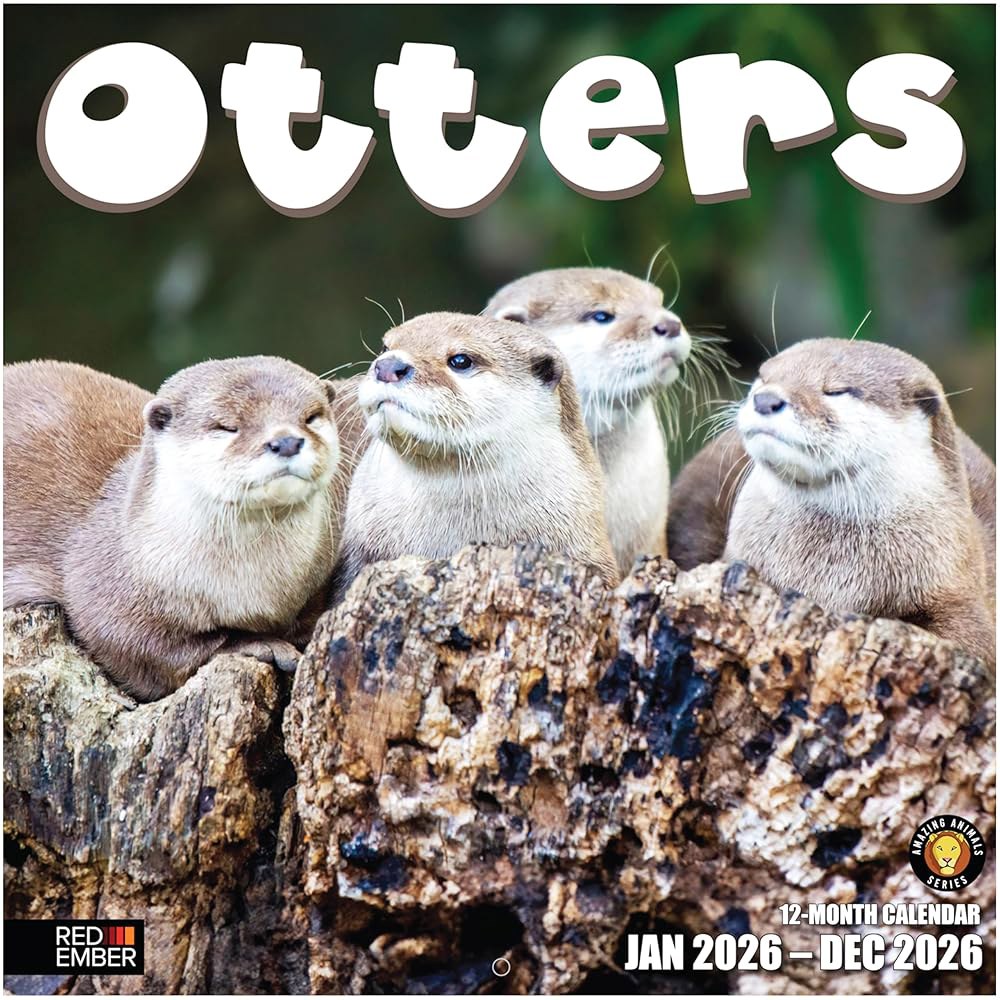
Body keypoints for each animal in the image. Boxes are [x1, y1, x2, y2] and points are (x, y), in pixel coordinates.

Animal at [3, 358, 342, 700]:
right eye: (227, 426)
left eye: (311, 416)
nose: (286, 441)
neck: (251, 591)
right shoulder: (102, 585)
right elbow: (146, 647)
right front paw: (261, 643)